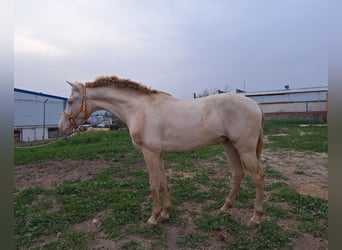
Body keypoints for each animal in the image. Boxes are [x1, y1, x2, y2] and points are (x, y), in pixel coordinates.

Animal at [58, 75, 264, 227]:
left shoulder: (149, 153)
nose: (61, 128)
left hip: (244, 148)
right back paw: (224, 208)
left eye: (70, 100)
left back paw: (255, 217)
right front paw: (165, 213)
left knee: (257, 177)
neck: (139, 109)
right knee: (238, 173)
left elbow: (153, 184)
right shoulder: (159, 153)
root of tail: (255, 105)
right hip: (229, 145)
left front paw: (153, 218)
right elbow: (163, 182)